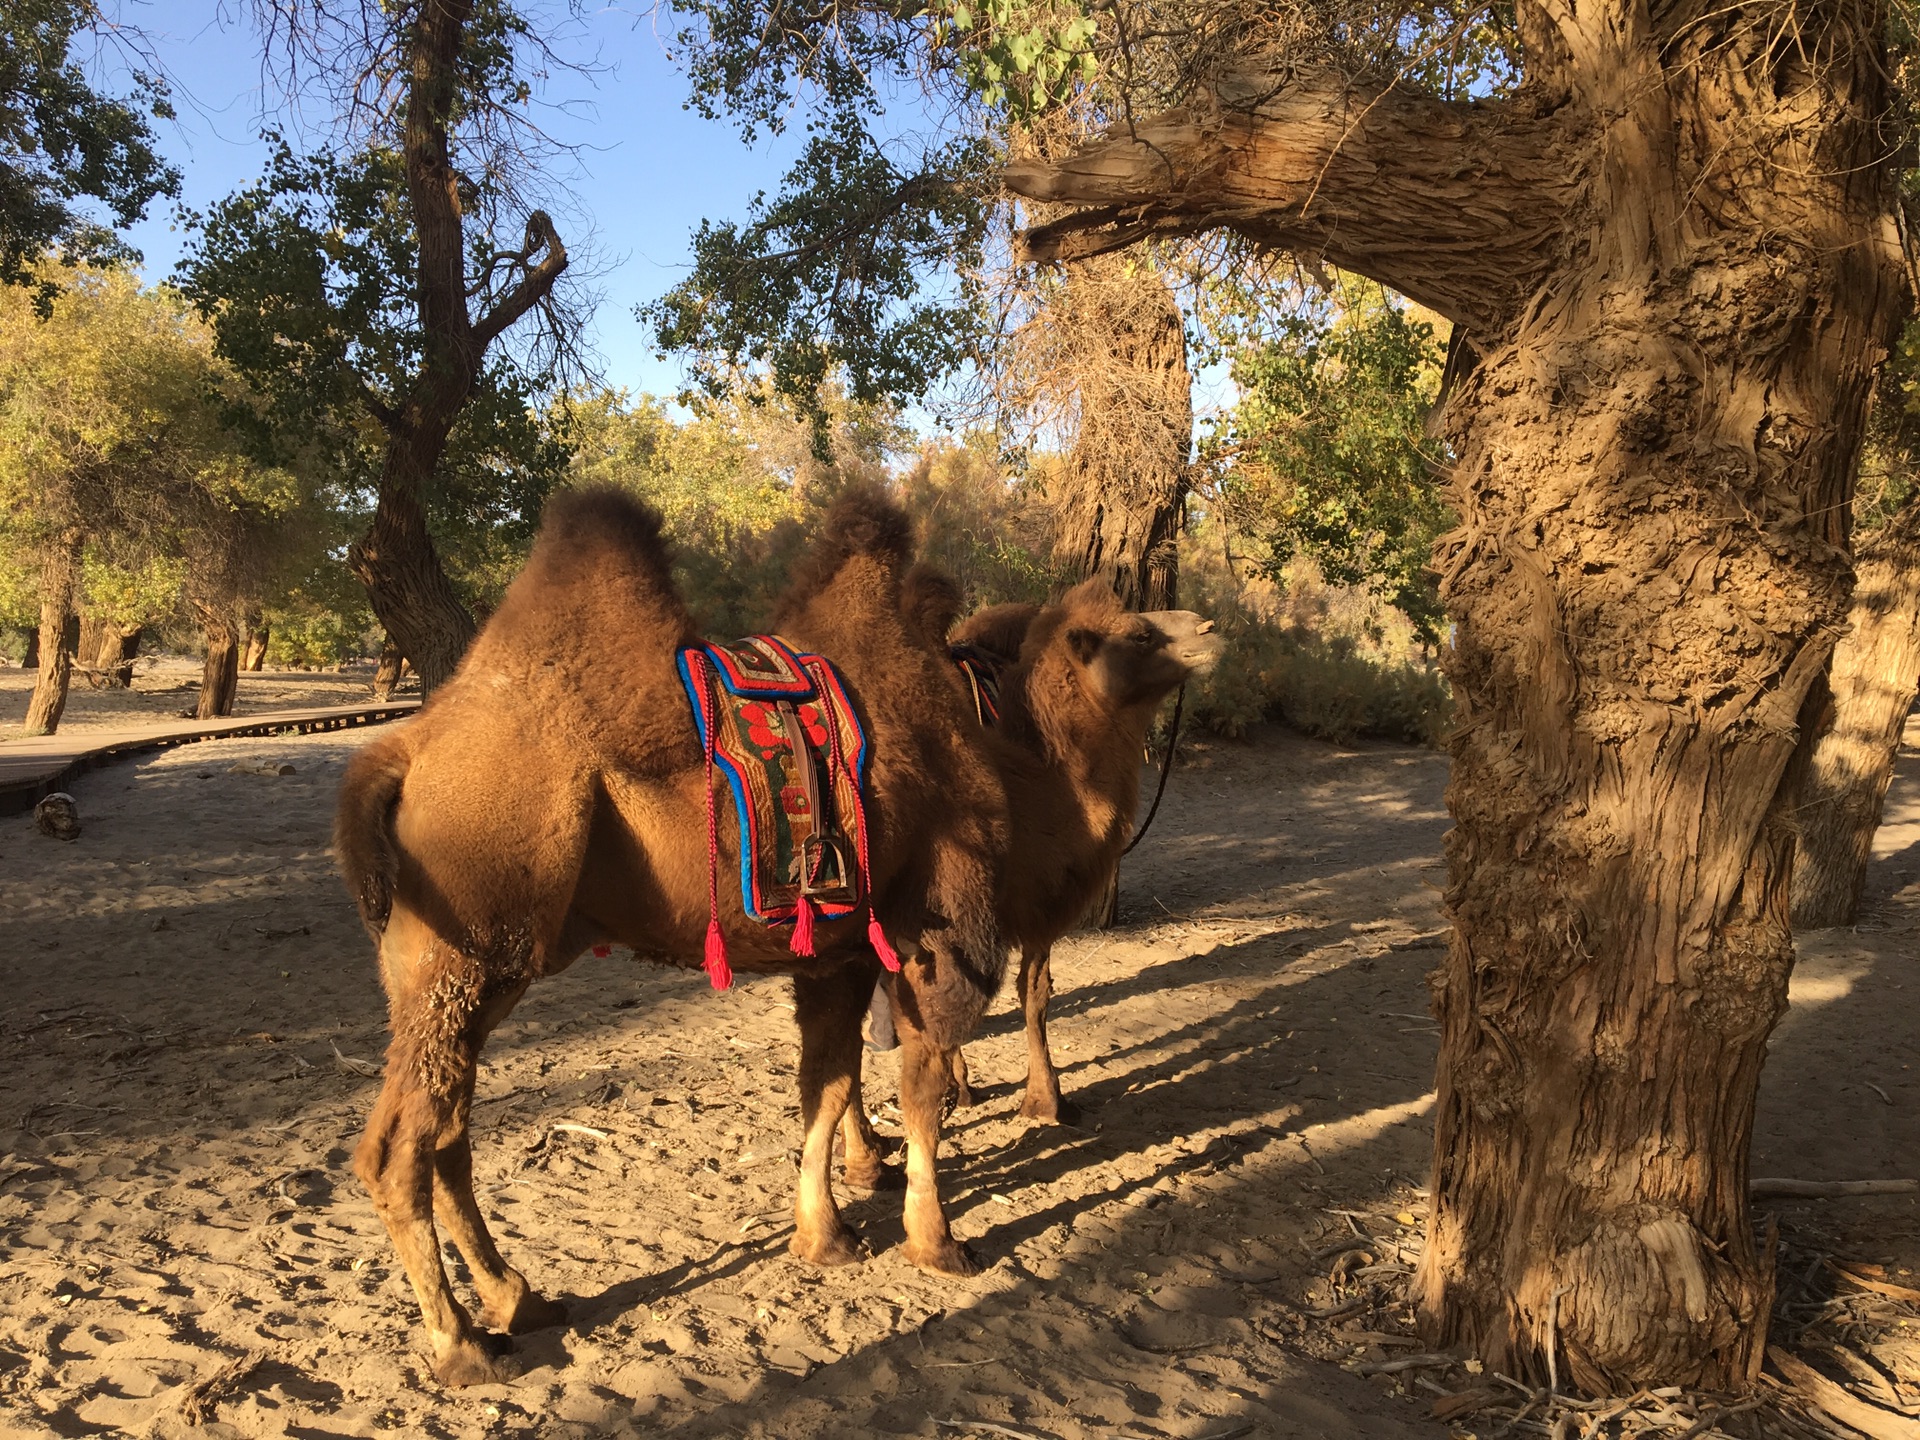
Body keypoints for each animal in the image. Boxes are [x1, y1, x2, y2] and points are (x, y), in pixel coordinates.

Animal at [334, 485, 1021, 1390]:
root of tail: (401, 752)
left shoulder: (835, 949)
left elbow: (826, 1084)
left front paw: (826, 1239)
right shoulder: (934, 921)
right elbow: (922, 1086)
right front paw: (939, 1246)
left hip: (470, 966)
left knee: (448, 1130)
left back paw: (522, 1300)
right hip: (469, 947)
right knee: (399, 1148)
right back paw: (462, 1347)